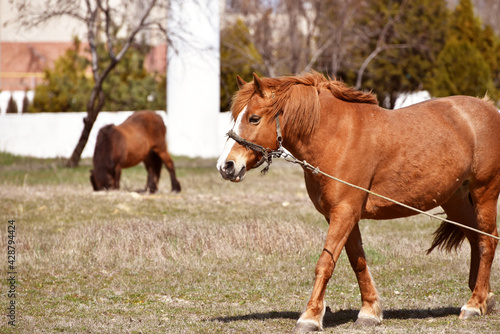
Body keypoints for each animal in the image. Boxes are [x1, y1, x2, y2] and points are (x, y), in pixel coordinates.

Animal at [217, 72, 498, 332]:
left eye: (253, 118)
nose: (226, 166)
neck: (336, 136)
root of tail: (488, 108)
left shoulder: (345, 212)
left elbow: (325, 264)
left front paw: (310, 317)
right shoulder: (340, 215)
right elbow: (357, 261)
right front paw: (369, 312)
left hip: (484, 192)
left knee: (487, 241)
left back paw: (474, 304)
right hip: (455, 200)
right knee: (475, 239)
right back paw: (484, 296)